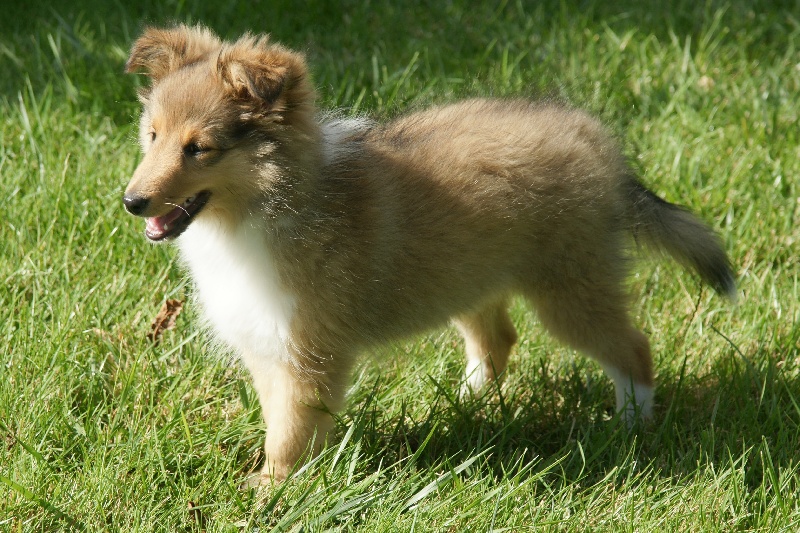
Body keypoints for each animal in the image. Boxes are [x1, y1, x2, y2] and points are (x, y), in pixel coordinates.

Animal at [120, 23, 736, 482]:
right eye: (151, 135)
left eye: (199, 149)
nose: (132, 202)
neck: (261, 209)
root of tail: (594, 140)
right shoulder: (267, 341)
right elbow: (279, 422)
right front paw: (275, 482)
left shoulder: (308, 350)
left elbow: (290, 432)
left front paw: (271, 494)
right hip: (466, 276)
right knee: (497, 339)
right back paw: (468, 404)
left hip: (569, 288)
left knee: (632, 349)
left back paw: (630, 427)